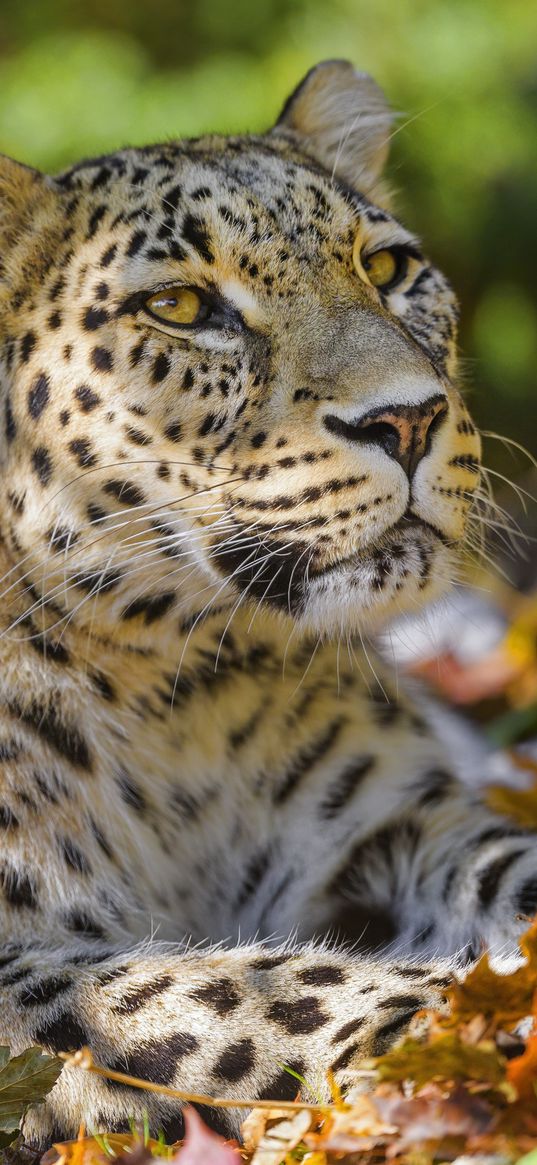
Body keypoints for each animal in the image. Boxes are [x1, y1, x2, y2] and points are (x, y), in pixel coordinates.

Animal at [0, 56, 533, 1146]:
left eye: (387, 267)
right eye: (177, 305)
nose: (408, 419)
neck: (173, 693)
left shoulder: (383, 832)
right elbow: (230, 993)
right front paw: (447, 1024)